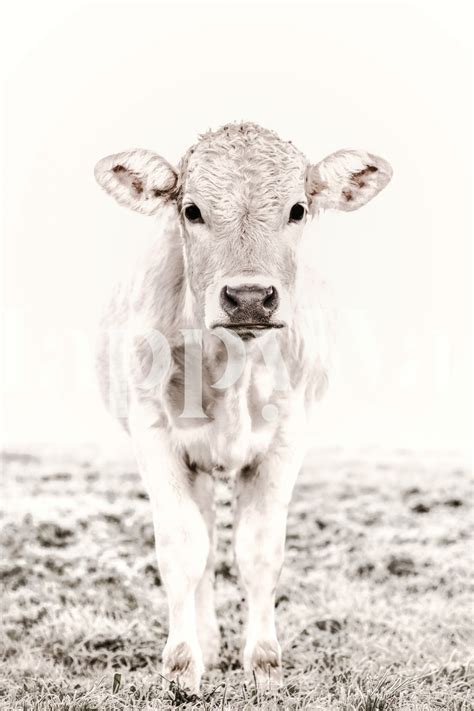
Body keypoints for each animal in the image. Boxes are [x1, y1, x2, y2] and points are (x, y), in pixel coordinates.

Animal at [94, 122, 392, 692]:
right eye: (191, 210)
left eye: (298, 209)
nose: (250, 297)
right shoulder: (154, 435)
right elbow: (183, 548)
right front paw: (183, 663)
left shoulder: (287, 439)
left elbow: (259, 551)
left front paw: (264, 664)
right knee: (204, 543)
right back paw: (207, 643)